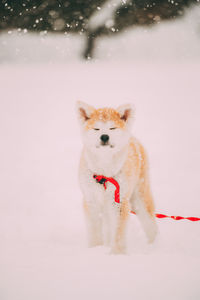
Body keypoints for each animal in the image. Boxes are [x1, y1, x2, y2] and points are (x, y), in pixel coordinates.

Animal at [77, 101, 157, 253]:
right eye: (96, 129)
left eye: (112, 128)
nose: (104, 136)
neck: (104, 173)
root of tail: (133, 138)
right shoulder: (91, 201)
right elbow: (95, 231)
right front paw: (95, 250)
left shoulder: (119, 202)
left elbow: (118, 233)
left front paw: (116, 254)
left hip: (139, 198)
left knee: (150, 223)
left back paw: (155, 245)